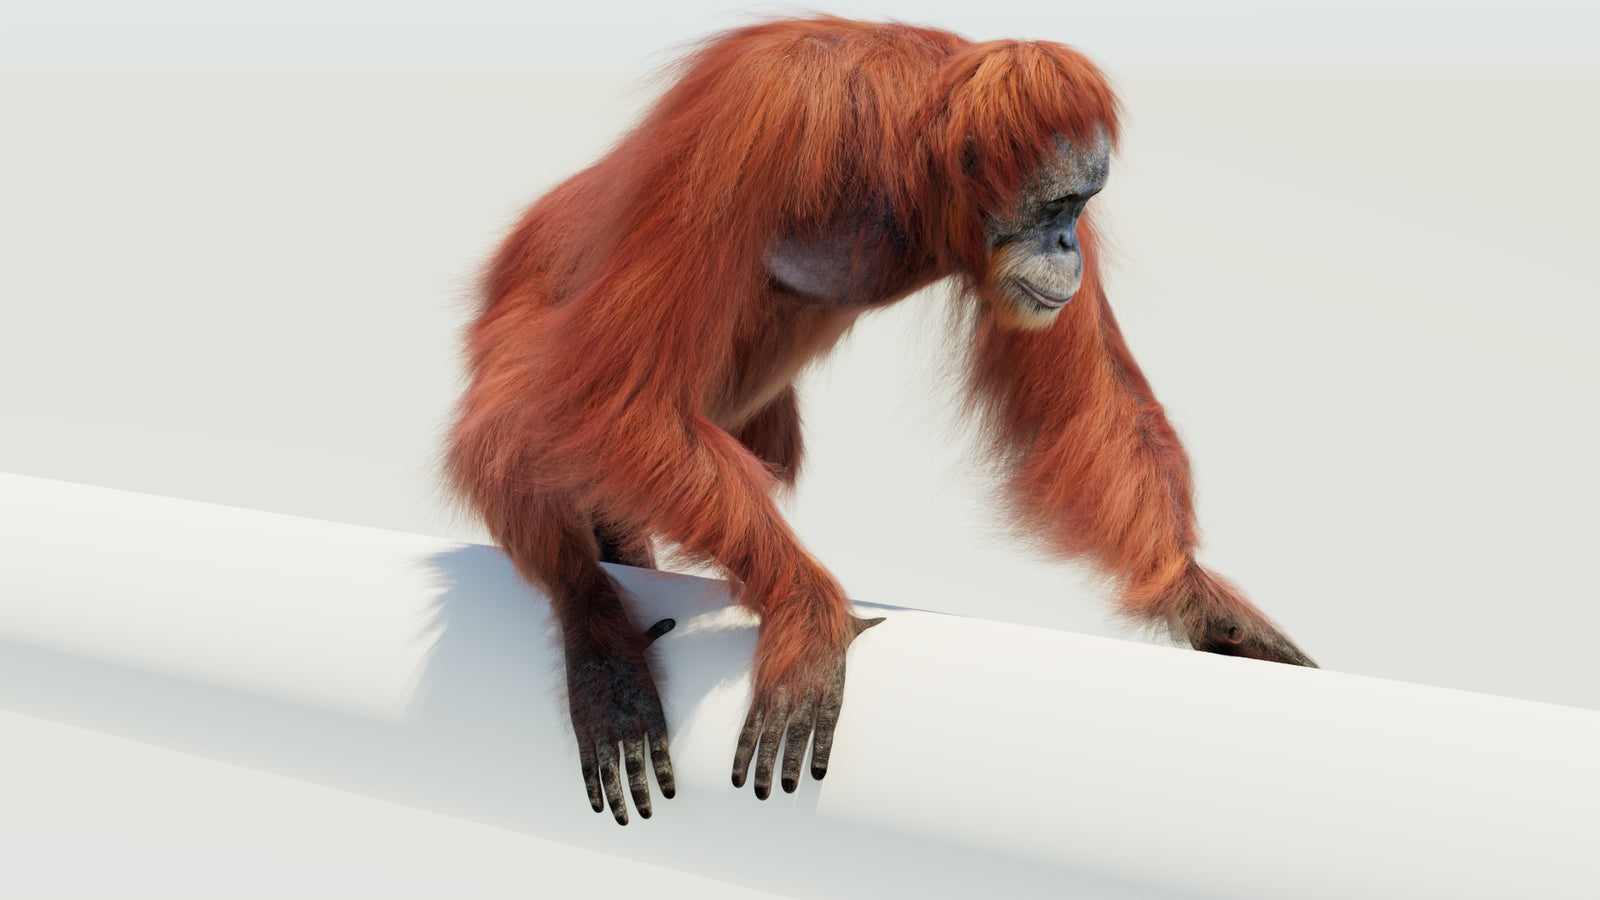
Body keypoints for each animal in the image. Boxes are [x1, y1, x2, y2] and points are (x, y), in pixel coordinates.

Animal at [447, 16, 1316, 826]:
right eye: (1059, 204)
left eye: (1081, 208)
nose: (1069, 243)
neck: (902, 162)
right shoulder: (762, 110)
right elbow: (624, 396)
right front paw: (806, 613)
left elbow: (1088, 400)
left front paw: (1202, 600)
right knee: (520, 417)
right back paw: (592, 624)